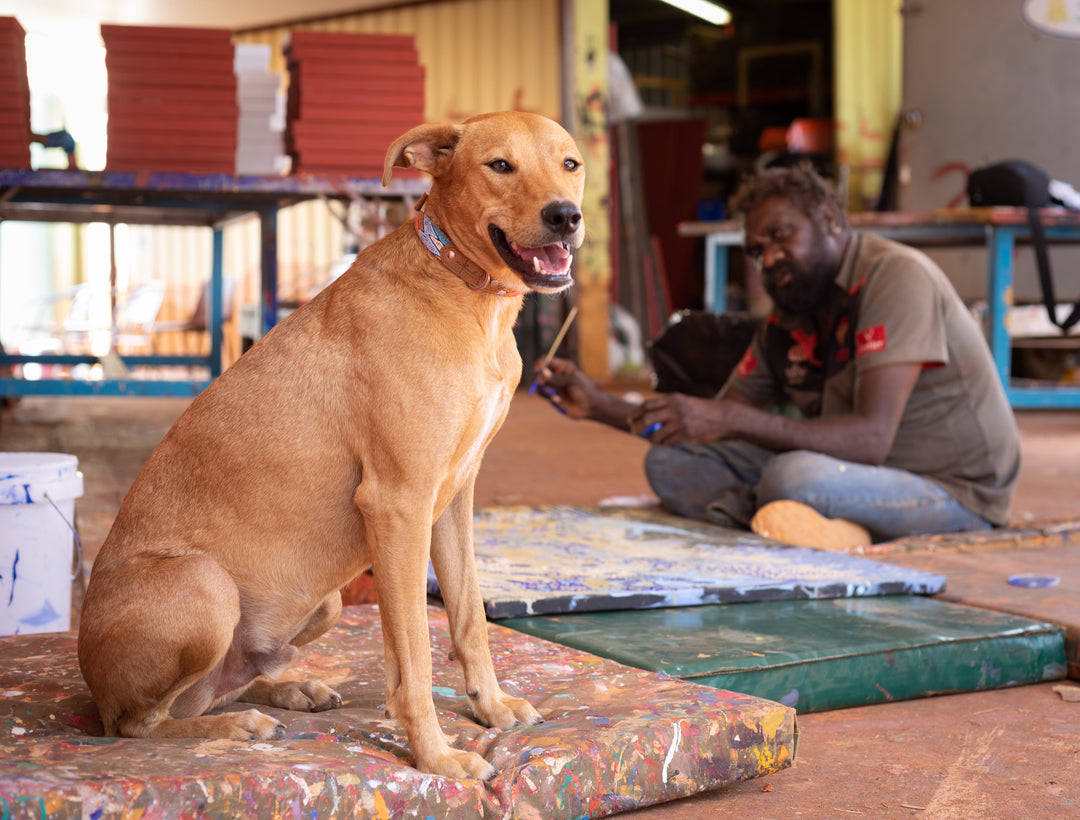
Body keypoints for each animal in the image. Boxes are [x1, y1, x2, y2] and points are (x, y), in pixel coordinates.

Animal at [77, 112, 587, 777]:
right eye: (500, 165)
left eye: (571, 164)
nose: (566, 216)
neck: (463, 292)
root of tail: (91, 682)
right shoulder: (397, 504)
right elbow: (415, 656)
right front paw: (436, 758)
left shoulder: (451, 500)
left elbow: (468, 617)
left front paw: (490, 707)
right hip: (205, 585)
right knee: (137, 724)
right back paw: (237, 725)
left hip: (325, 605)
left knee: (213, 689)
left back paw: (289, 688)